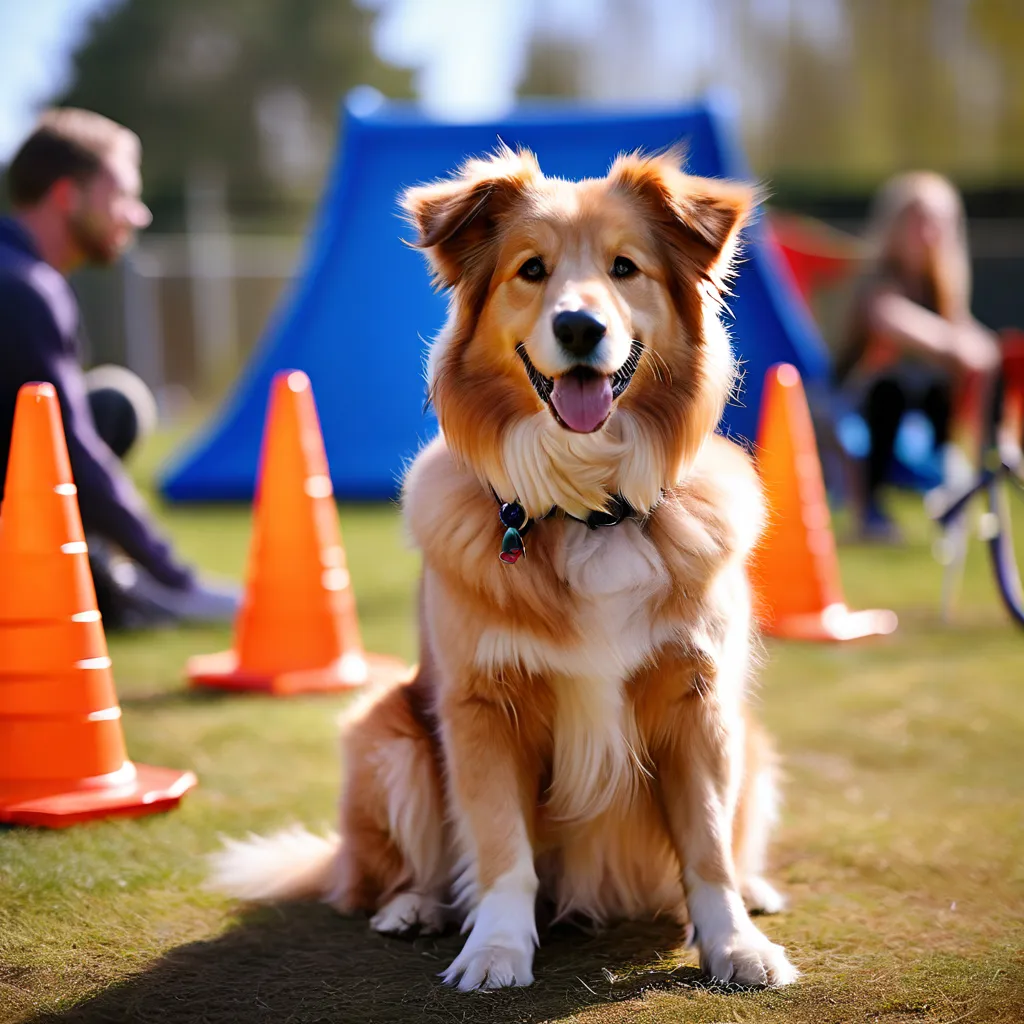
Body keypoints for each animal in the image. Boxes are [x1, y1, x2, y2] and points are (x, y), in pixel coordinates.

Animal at [209, 144, 798, 991]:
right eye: (531, 270)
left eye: (625, 268)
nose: (580, 326)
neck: (589, 508)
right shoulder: (481, 707)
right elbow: (500, 850)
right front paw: (495, 949)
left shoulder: (701, 701)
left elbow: (709, 847)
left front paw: (736, 945)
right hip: (386, 737)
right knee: (381, 875)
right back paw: (412, 907)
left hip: (753, 744)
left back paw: (756, 888)